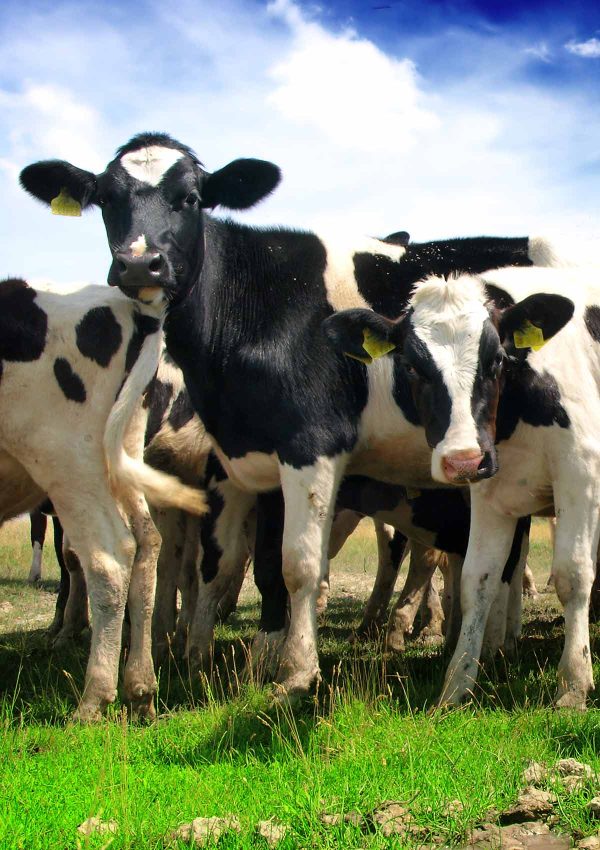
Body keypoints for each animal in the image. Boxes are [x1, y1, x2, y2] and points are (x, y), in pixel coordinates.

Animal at [0, 278, 206, 720]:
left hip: (70, 462)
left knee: (109, 559)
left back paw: (95, 695)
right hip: (120, 457)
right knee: (148, 545)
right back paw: (142, 683)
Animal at [20, 132, 560, 700]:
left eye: (191, 198)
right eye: (106, 199)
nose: (140, 265)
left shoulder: (311, 444)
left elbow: (299, 564)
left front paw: (297, 672)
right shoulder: (259, 461)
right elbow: (260, 567)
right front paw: (260, 659)